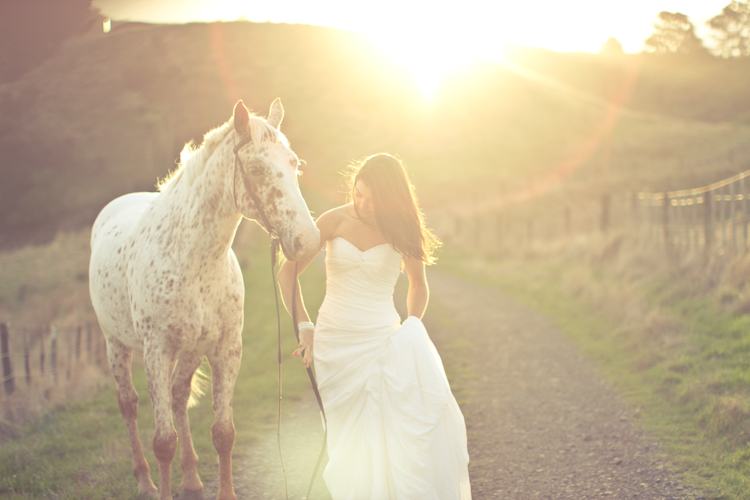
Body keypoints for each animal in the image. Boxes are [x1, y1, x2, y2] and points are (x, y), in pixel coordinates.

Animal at [89, 99, 320, 500]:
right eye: (256, 168)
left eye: (294, 163)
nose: (308, 240)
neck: (193, 258)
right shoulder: (157, 352)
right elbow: (163, 441)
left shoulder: (226, 349)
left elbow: (223, 434)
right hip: (116, 344)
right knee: (129, 406)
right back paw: (145, 482)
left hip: (192, 350)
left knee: (179, 396)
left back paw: (193, 480)